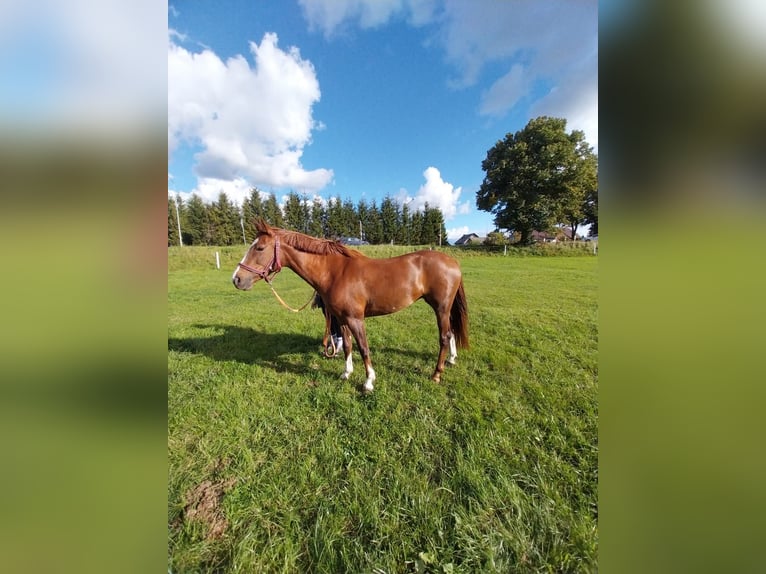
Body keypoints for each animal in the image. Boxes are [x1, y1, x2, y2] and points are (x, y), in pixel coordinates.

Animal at [232, 220, 469, 393]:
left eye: (260, 248)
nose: (236, 279)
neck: (335, 272)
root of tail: (453, 262)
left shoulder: (356, 319)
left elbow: (363, 347)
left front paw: (368, 382)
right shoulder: (341, 318)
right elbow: (347, 345)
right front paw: (346, 373)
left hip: (441, 308)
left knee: (445, 336)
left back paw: (436, 374)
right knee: (451, 333)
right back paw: (451, 360)